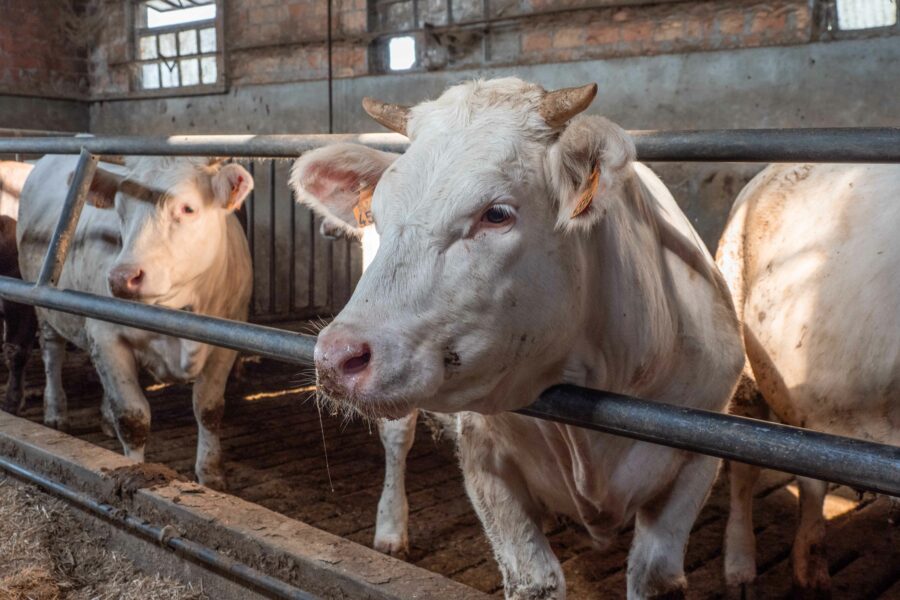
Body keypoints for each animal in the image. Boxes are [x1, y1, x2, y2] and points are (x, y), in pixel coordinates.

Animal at [17, 155, 253, 489]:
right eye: (120, 210)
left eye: (188, 208)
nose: (122, 277)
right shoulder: (106, 335)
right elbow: (132, 417)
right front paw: (134, 469)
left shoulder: (230, 334)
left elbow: (209, 408)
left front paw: (211, 474)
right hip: (45, 305)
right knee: (52, 353)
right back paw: (55, 411)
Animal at [290, 77, 745, 599]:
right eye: (380, 215)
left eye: (497, 214)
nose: (336, 357)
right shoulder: (484, 459)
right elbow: (534, 577)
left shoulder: (697, 459)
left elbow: (654, 574)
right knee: (396, 437)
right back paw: (390, 528)